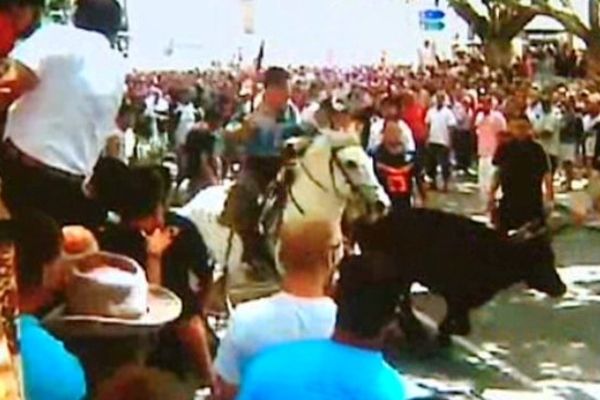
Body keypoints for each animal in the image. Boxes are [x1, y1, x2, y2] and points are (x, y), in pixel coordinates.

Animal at [356, 208, 568, 342]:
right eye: (541, 260)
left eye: (551, 257)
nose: (562, 288)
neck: (496, 253)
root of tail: (371, 226)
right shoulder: (456, 296)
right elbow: (462, 326)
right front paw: (442, 334)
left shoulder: (461, 300)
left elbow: (461, 324)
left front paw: (443, 334)